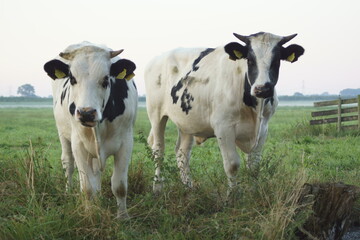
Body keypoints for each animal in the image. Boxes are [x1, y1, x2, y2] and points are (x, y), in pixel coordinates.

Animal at [42, 42, 138, 218]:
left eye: (106, 79)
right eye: (72, 78)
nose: (86, 113)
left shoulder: (126, 143)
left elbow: (120, 186)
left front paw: (123, 217)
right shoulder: (78, 145)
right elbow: (87, 187)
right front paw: (89, 213)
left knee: (95, 172)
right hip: (63, 134)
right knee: (68, 163)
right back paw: (69, 192)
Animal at [143, 32, 304, 193]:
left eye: (276, 60)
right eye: (250, 60)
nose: (262, 89)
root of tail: (159, 58)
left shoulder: (263, 129)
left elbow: (254, 166)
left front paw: (255, 192)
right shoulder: (223, 127)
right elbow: (232, 164)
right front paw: (233, 194)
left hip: (186, 122)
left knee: (182, 153)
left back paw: (189, 187)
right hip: (156, 114)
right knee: (158, 150)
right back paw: (157, 187)